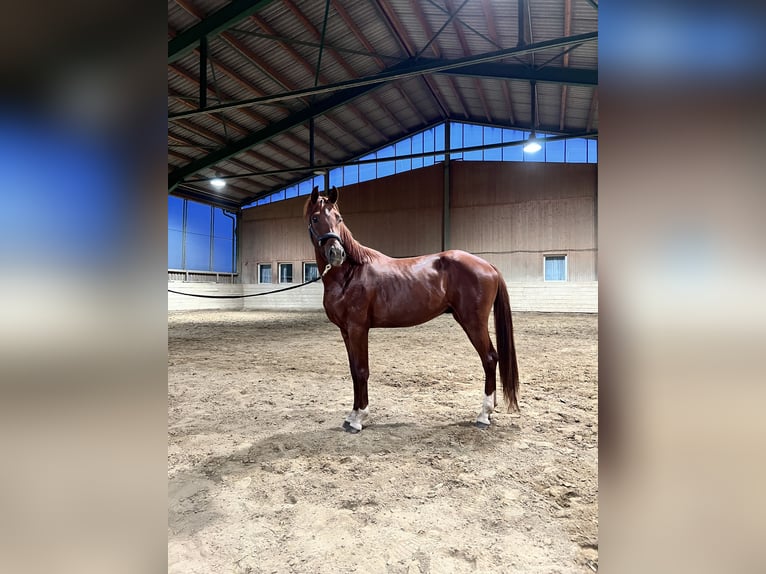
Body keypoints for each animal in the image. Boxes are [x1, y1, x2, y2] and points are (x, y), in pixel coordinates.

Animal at [306, 187, 520, 434]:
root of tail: (489, 266)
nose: (337, 253)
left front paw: (359, 418)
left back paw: (484, 414)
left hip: (473, 322)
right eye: (315, 218)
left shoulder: (358, 328)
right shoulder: (346, 331)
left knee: (490, 358)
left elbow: (361, 370)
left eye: (339, 218)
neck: (350, 274)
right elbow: (353, 371)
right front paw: (352, 415)